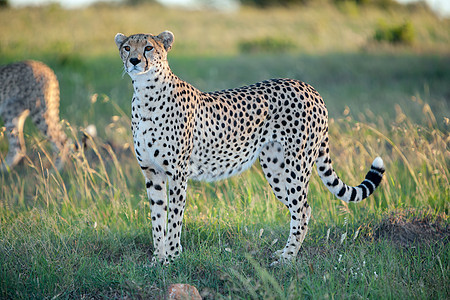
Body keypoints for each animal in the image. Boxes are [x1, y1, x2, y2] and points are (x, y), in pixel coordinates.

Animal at [114, 31, 384, 264]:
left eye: (149, 47)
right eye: (127, 47)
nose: (135, 61)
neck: (146, 94)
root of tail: (308, 87)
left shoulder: (178, 174)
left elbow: (174, 219)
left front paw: (171, 257)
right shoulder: (152, 173)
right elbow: (157, 218)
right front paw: (157, 260)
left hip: (296, 166)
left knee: (302, 209)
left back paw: (287, 259)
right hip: (276, 170)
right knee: (301, 209)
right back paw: (284, 252)